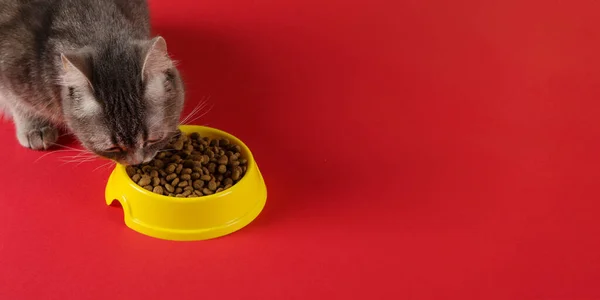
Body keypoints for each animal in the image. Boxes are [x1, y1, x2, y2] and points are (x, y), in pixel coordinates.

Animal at [0, 0, 185, 165]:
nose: (137, 162)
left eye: (154, 139)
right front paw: (34, 126)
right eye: (112, 148)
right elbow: (18, 103)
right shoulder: (8, 70)